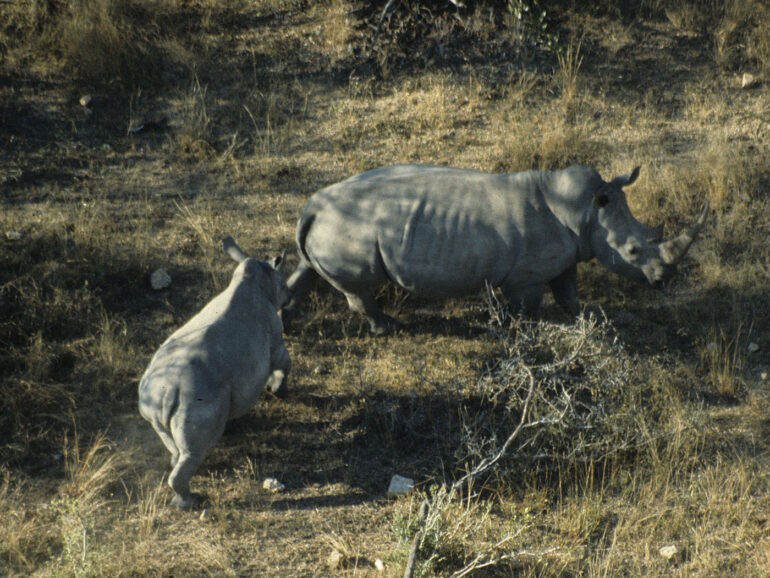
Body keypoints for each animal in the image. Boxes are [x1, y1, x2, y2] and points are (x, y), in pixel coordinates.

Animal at [138, 237, 291, 509]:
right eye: (284, 284)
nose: (290, 297)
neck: (260, 279)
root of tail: (167, 393)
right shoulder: (275, 341)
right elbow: (286, 362)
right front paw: (279, 391)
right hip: (196, 398)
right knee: (195, 449)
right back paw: (189, 502)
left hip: (152, 400)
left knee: (173, 442)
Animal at [284, 164, 708, 334]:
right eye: (634, 251)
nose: (663, 282)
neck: (587, 212)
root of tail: (312, 205)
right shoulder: (526, 276)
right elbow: (527, 306)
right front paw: (518, 327)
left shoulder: (566, 257)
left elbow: (568, 293)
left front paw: (588, 319)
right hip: (347, 226)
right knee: (360, 287)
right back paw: (386, 327)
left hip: (328, 223)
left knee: (307, 270)